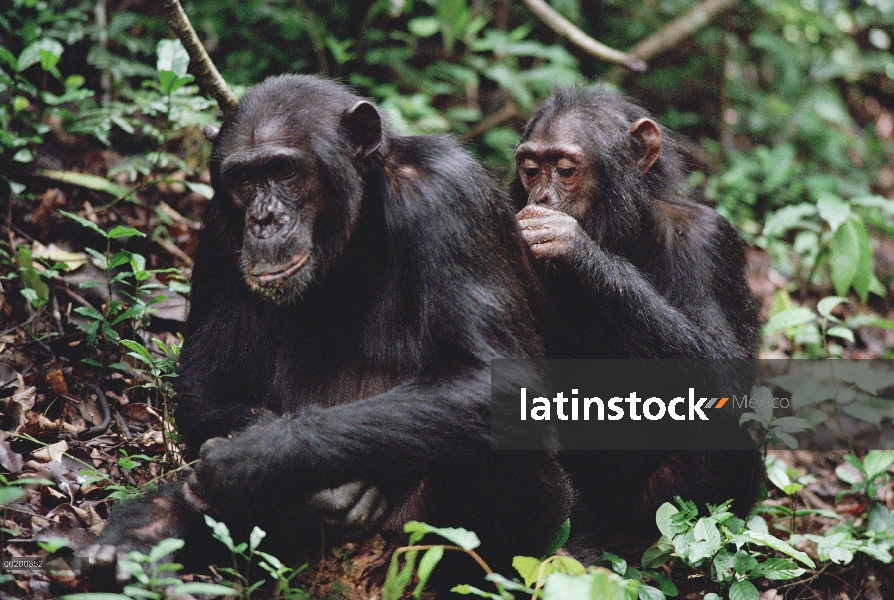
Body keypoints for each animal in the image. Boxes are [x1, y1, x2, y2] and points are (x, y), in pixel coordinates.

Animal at [87, 75, 572, 580]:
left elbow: (491, 380)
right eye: (244, 180)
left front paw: (251, 459)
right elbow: (207, 387)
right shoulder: (220, 226)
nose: (263, 219)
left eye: (283, 171)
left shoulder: (448, 195)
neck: (356, 225)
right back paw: (131, 544)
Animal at [512, 86, 764, 560]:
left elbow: (726, 369)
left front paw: (576, 248)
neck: (623, 235)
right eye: (530, 169)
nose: (541, 198)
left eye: (566, 169)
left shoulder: (710, 243)